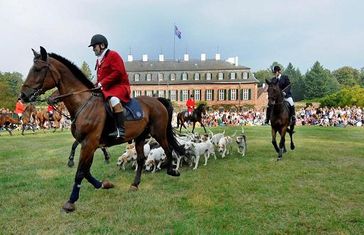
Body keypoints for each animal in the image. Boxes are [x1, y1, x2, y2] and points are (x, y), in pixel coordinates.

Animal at [20, 46, 185, 212]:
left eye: (38, 69)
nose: (23, 95)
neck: (84, 103)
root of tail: (157, 100)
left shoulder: (89, 143)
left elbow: (80, 172)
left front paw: (71, 201)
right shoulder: (88, 144)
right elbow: (86, 170)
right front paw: (103, 184)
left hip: (158, 133)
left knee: (168, 149)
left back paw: (172, 171)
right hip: (140, 137)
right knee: (140, 159)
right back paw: (135, 184)